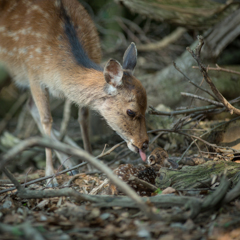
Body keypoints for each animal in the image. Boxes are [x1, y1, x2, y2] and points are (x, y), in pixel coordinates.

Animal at [0, 0, 149, 186]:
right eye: (131, 111)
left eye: (147, 107)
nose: (144, 144)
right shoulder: (33, 73)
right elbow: (46, 120)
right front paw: (50, 177)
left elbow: (83, 117)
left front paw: (91, 164)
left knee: (30, 105)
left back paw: (71, 162)